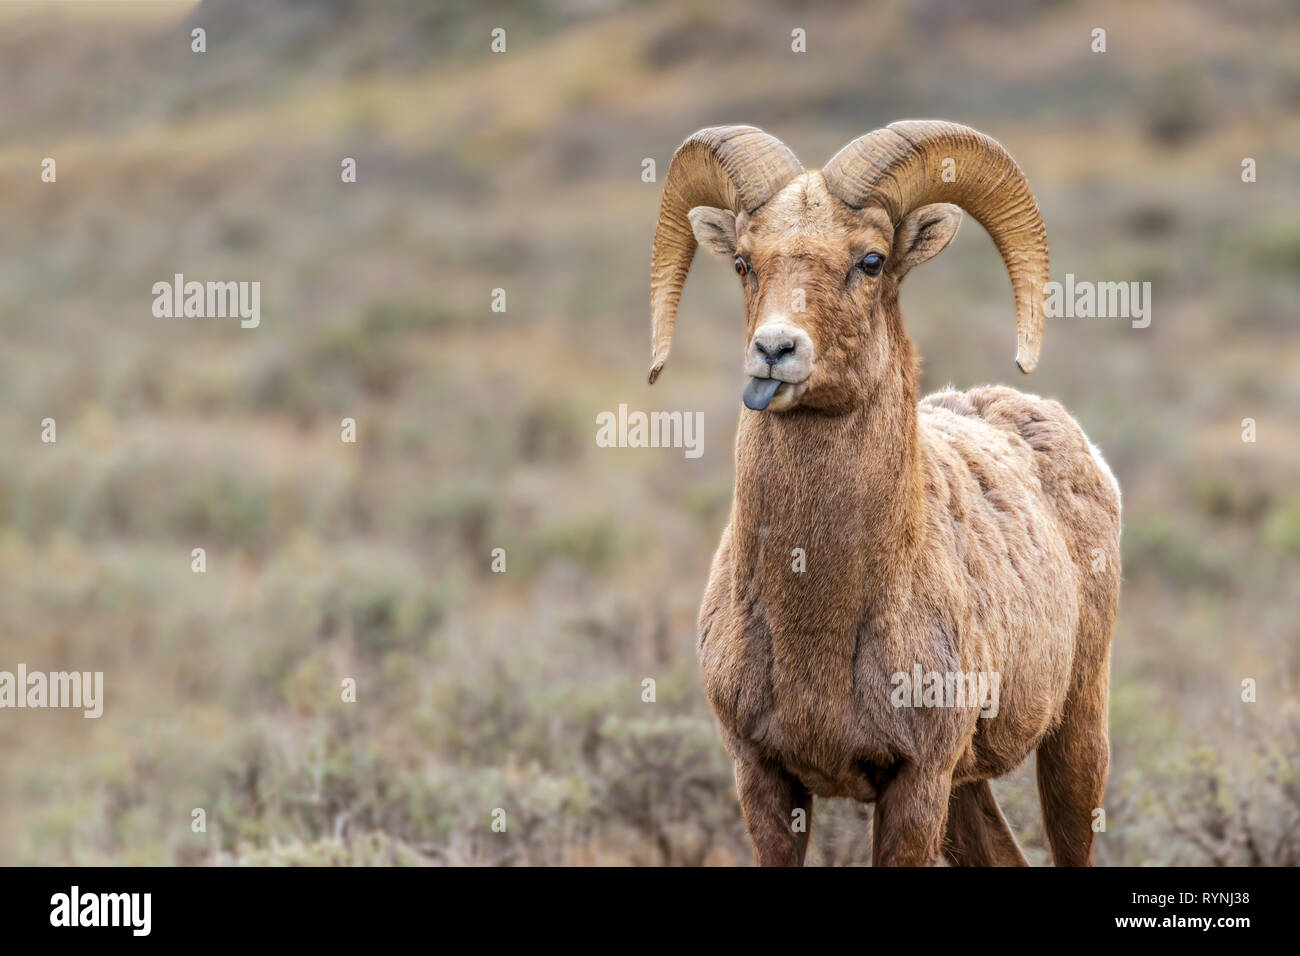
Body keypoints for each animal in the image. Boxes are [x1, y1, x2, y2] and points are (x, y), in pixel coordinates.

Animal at [647, 121, 1121, 866]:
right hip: (968, 787)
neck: (817, 613)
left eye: (870, 262)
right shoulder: (763, 778)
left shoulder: (916, 780)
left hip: (1075, 735)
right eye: (744, 263)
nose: (775, 351)